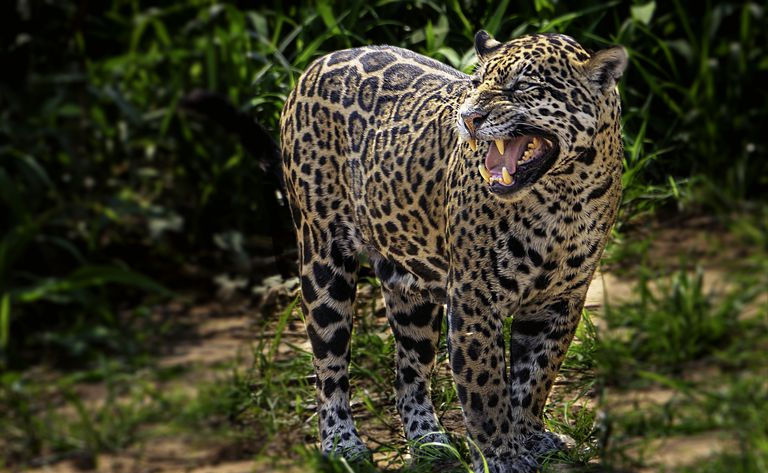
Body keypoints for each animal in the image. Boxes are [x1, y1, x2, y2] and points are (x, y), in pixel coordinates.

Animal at [279, 30, 627, 472]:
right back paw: (343, 444)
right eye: (477, 83)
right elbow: (485, 388)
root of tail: (317, 63)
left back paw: (431, 442)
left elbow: (535, 376)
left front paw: (531, 438)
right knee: (328, 369)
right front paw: (501, 456)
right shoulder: (475, 297)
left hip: (411, 290)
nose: (470, 117)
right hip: (322, 260)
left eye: (522, 86)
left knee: (408, 376)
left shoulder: (561, 299)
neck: (564, 196)